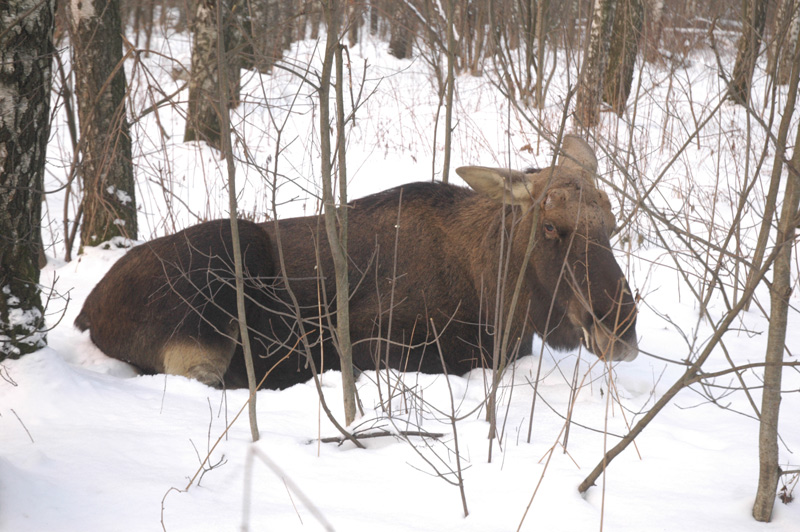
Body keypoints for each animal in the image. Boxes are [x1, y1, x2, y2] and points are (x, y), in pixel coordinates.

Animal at [75, 135, 636, 388]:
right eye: (550, 226)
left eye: (612, 222)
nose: (620, 328)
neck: (494, 297)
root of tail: (88, 311)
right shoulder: (371, 340)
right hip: (217, 290)